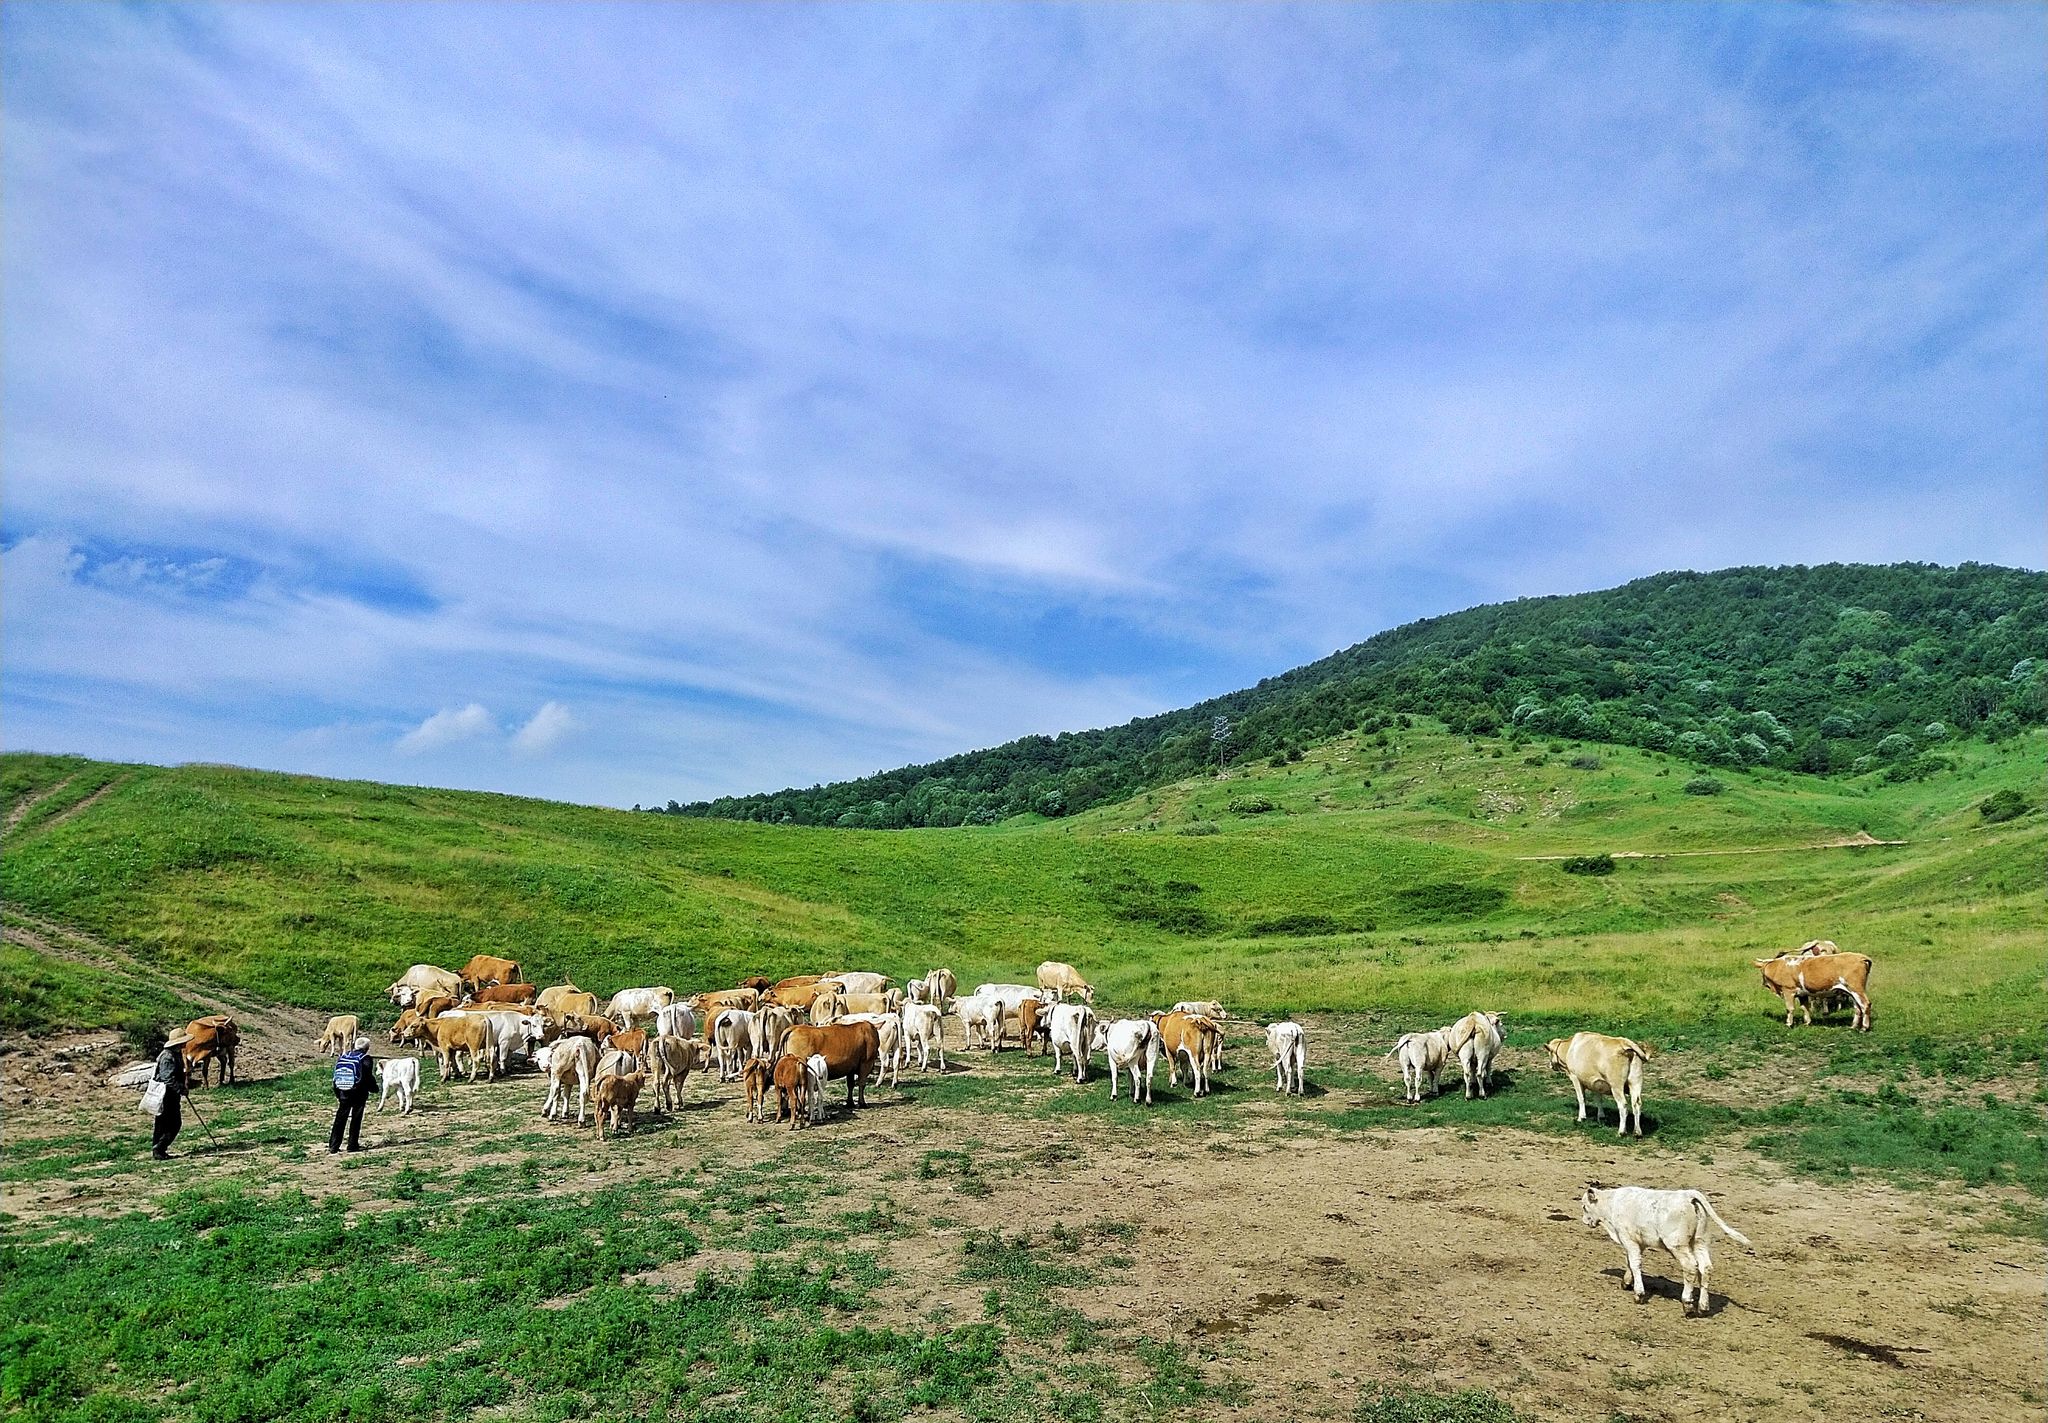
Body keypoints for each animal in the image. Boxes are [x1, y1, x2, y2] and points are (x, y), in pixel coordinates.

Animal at [1572, 1179, 1753, 1310]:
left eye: (1584, 1206)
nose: (1584, 1221)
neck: (1612, 1205)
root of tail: (1688, 1195)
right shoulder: (1638, 1243)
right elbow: (1630, 1262)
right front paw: (1626, 1282)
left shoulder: (1628, 1239)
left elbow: (1635, 1263)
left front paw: (1638, 1294)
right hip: (1699, 1241)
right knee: (1706, 1268)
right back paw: (1703, 1306)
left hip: (1678, 1245)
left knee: (1690, 1267)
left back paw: (1687, 1303)